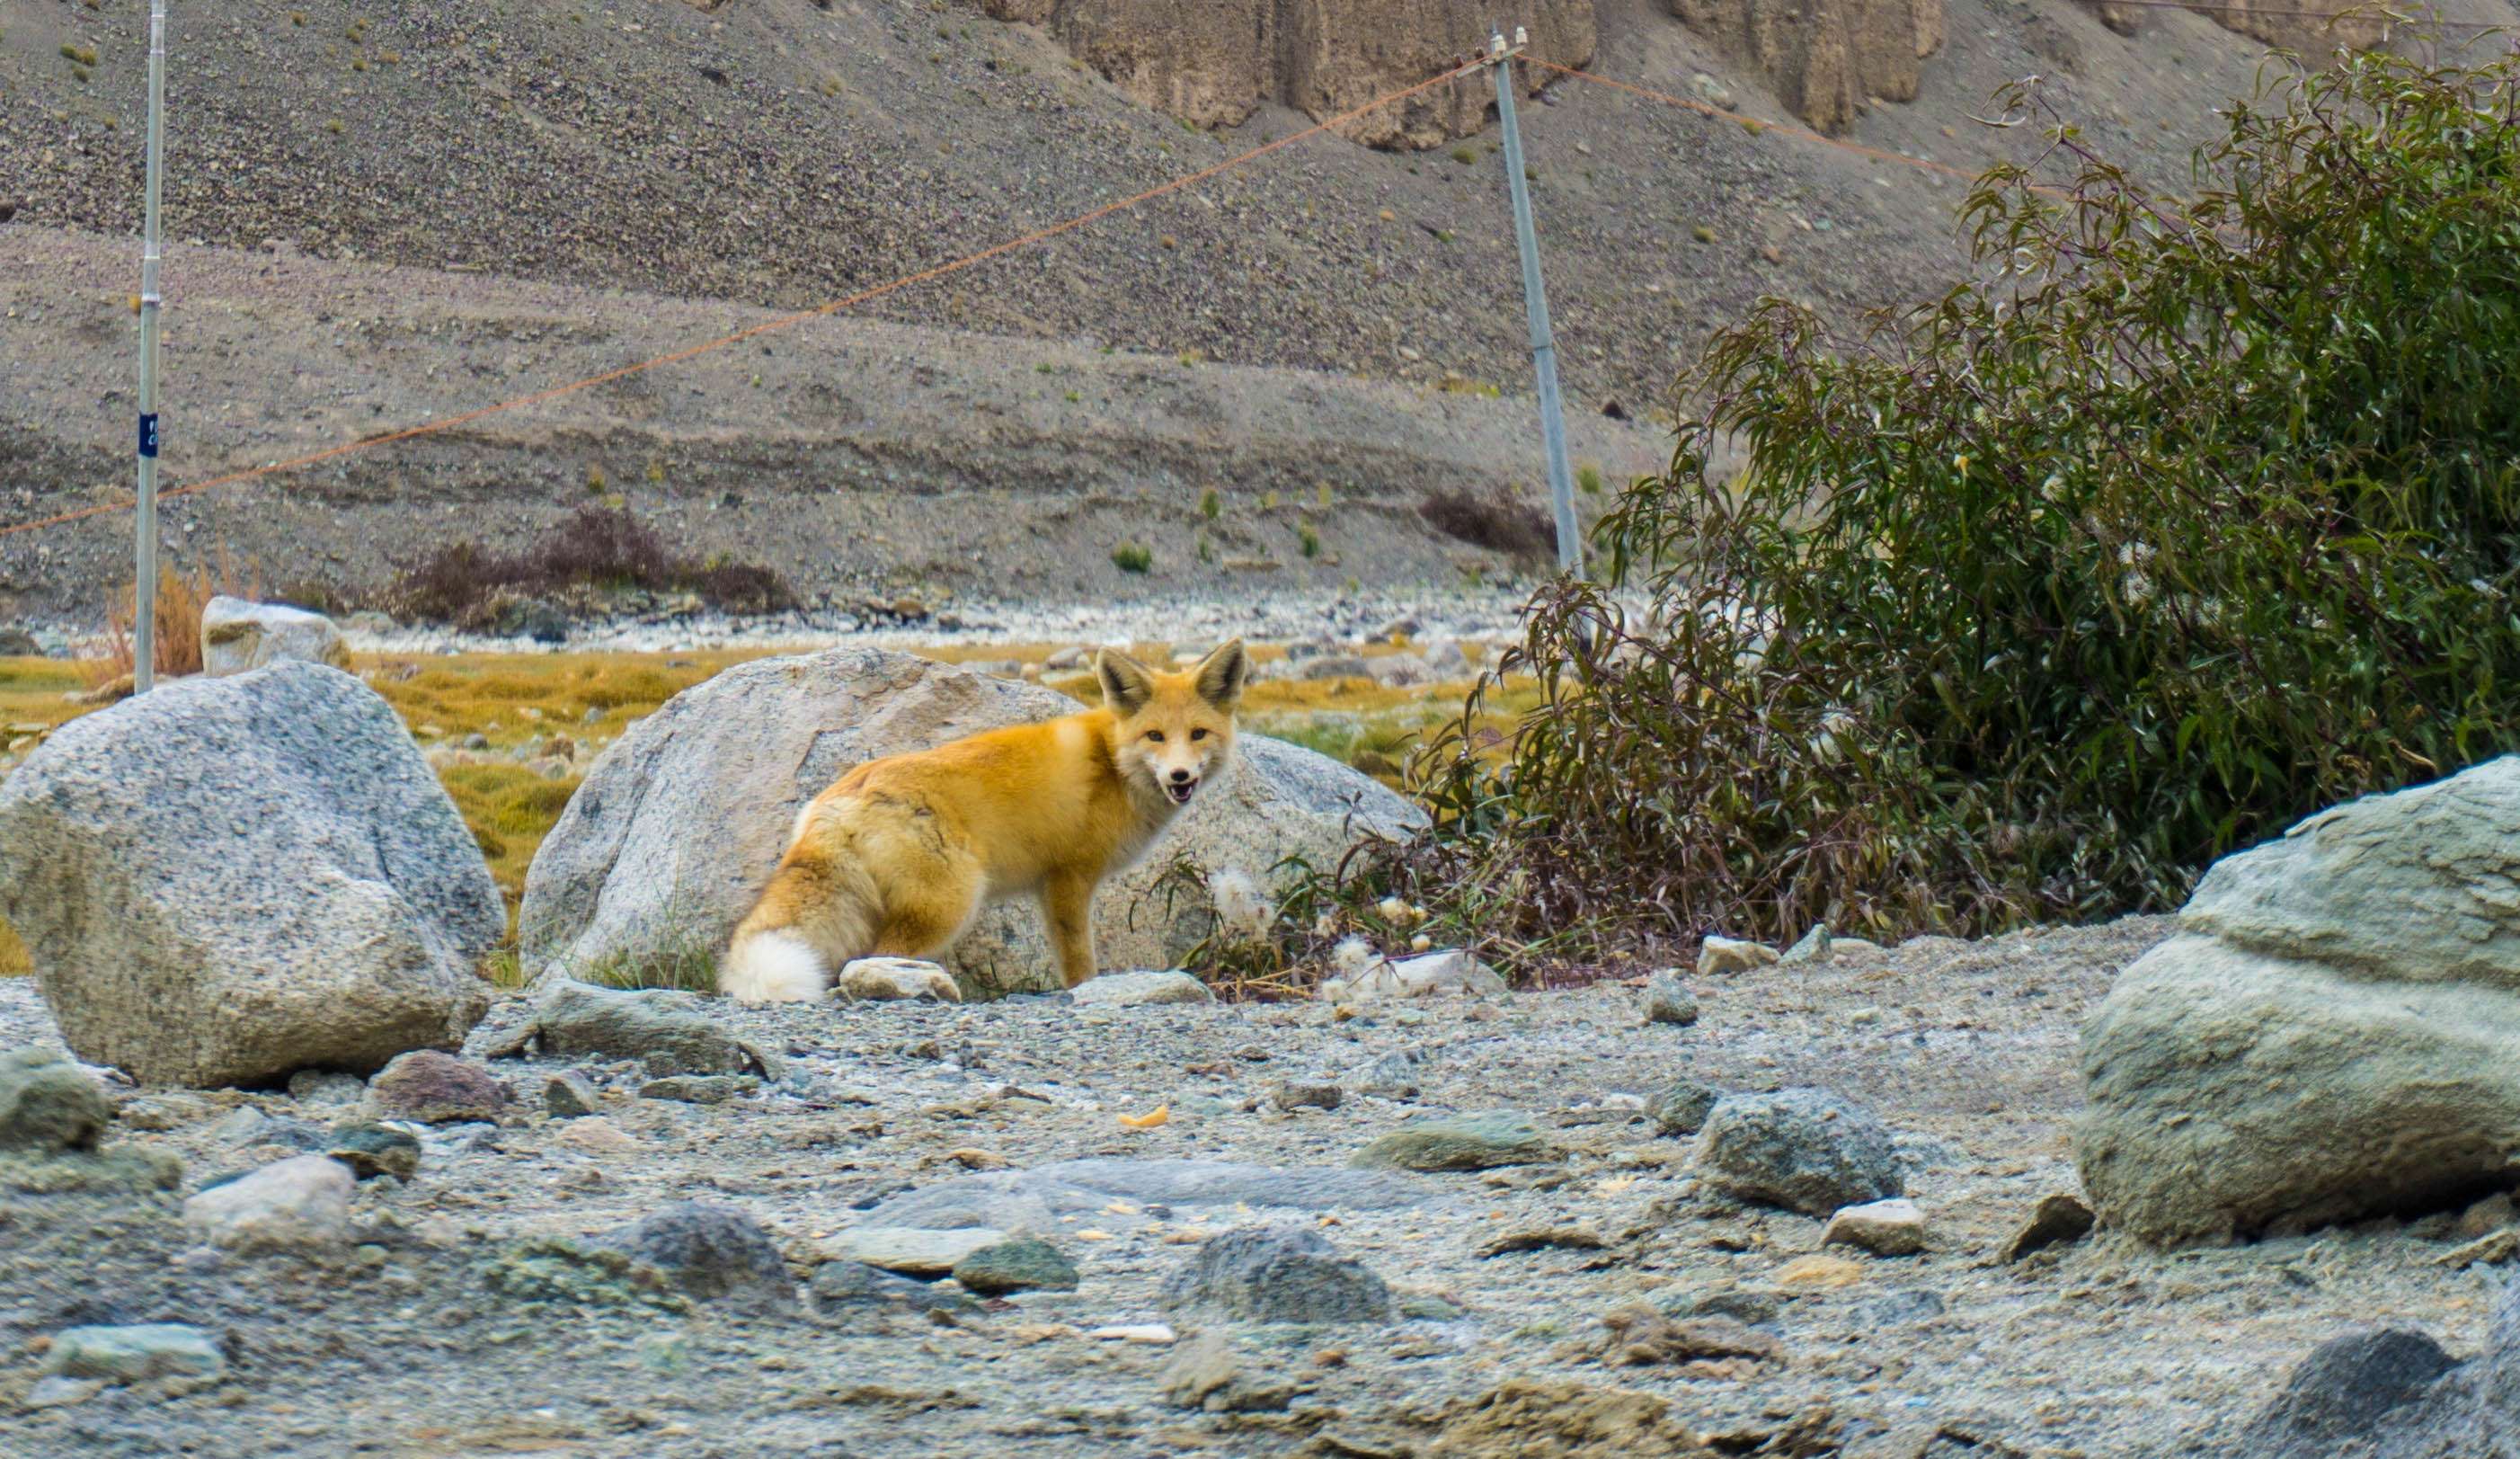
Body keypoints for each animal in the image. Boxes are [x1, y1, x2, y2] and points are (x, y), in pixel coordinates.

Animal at [718, 640, 1250, 1003]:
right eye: (1155, 736)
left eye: (1198, 734)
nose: (1180, 776)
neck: (1114, 764)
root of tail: (835, 798)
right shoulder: (1069, 879)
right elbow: (1080, 964)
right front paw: (1087, 992)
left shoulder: (1048, 887)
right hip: (948, 906)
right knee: (866, 962)